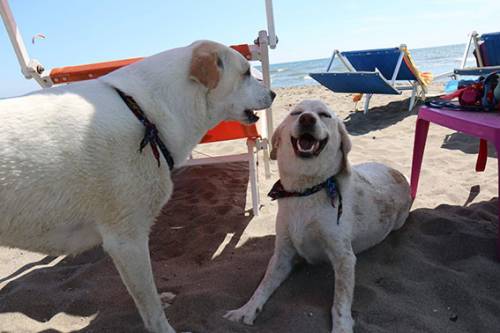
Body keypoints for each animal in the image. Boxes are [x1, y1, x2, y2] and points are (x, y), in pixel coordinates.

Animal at [0, 40, 276, 332]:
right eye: (246, 72)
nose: (273, 93)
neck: (145, 115)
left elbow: (145, 296)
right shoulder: (126, 240)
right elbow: (150, 306)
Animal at [225, 99, 412, 332]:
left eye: (324, 115)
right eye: (296, 113)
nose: (307, 118)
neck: (306, 191)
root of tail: (399, 174)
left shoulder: (344, 258)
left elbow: (340, 301)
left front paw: (341, 327)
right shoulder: (282, 254)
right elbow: (263, 285)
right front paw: (246, 310)